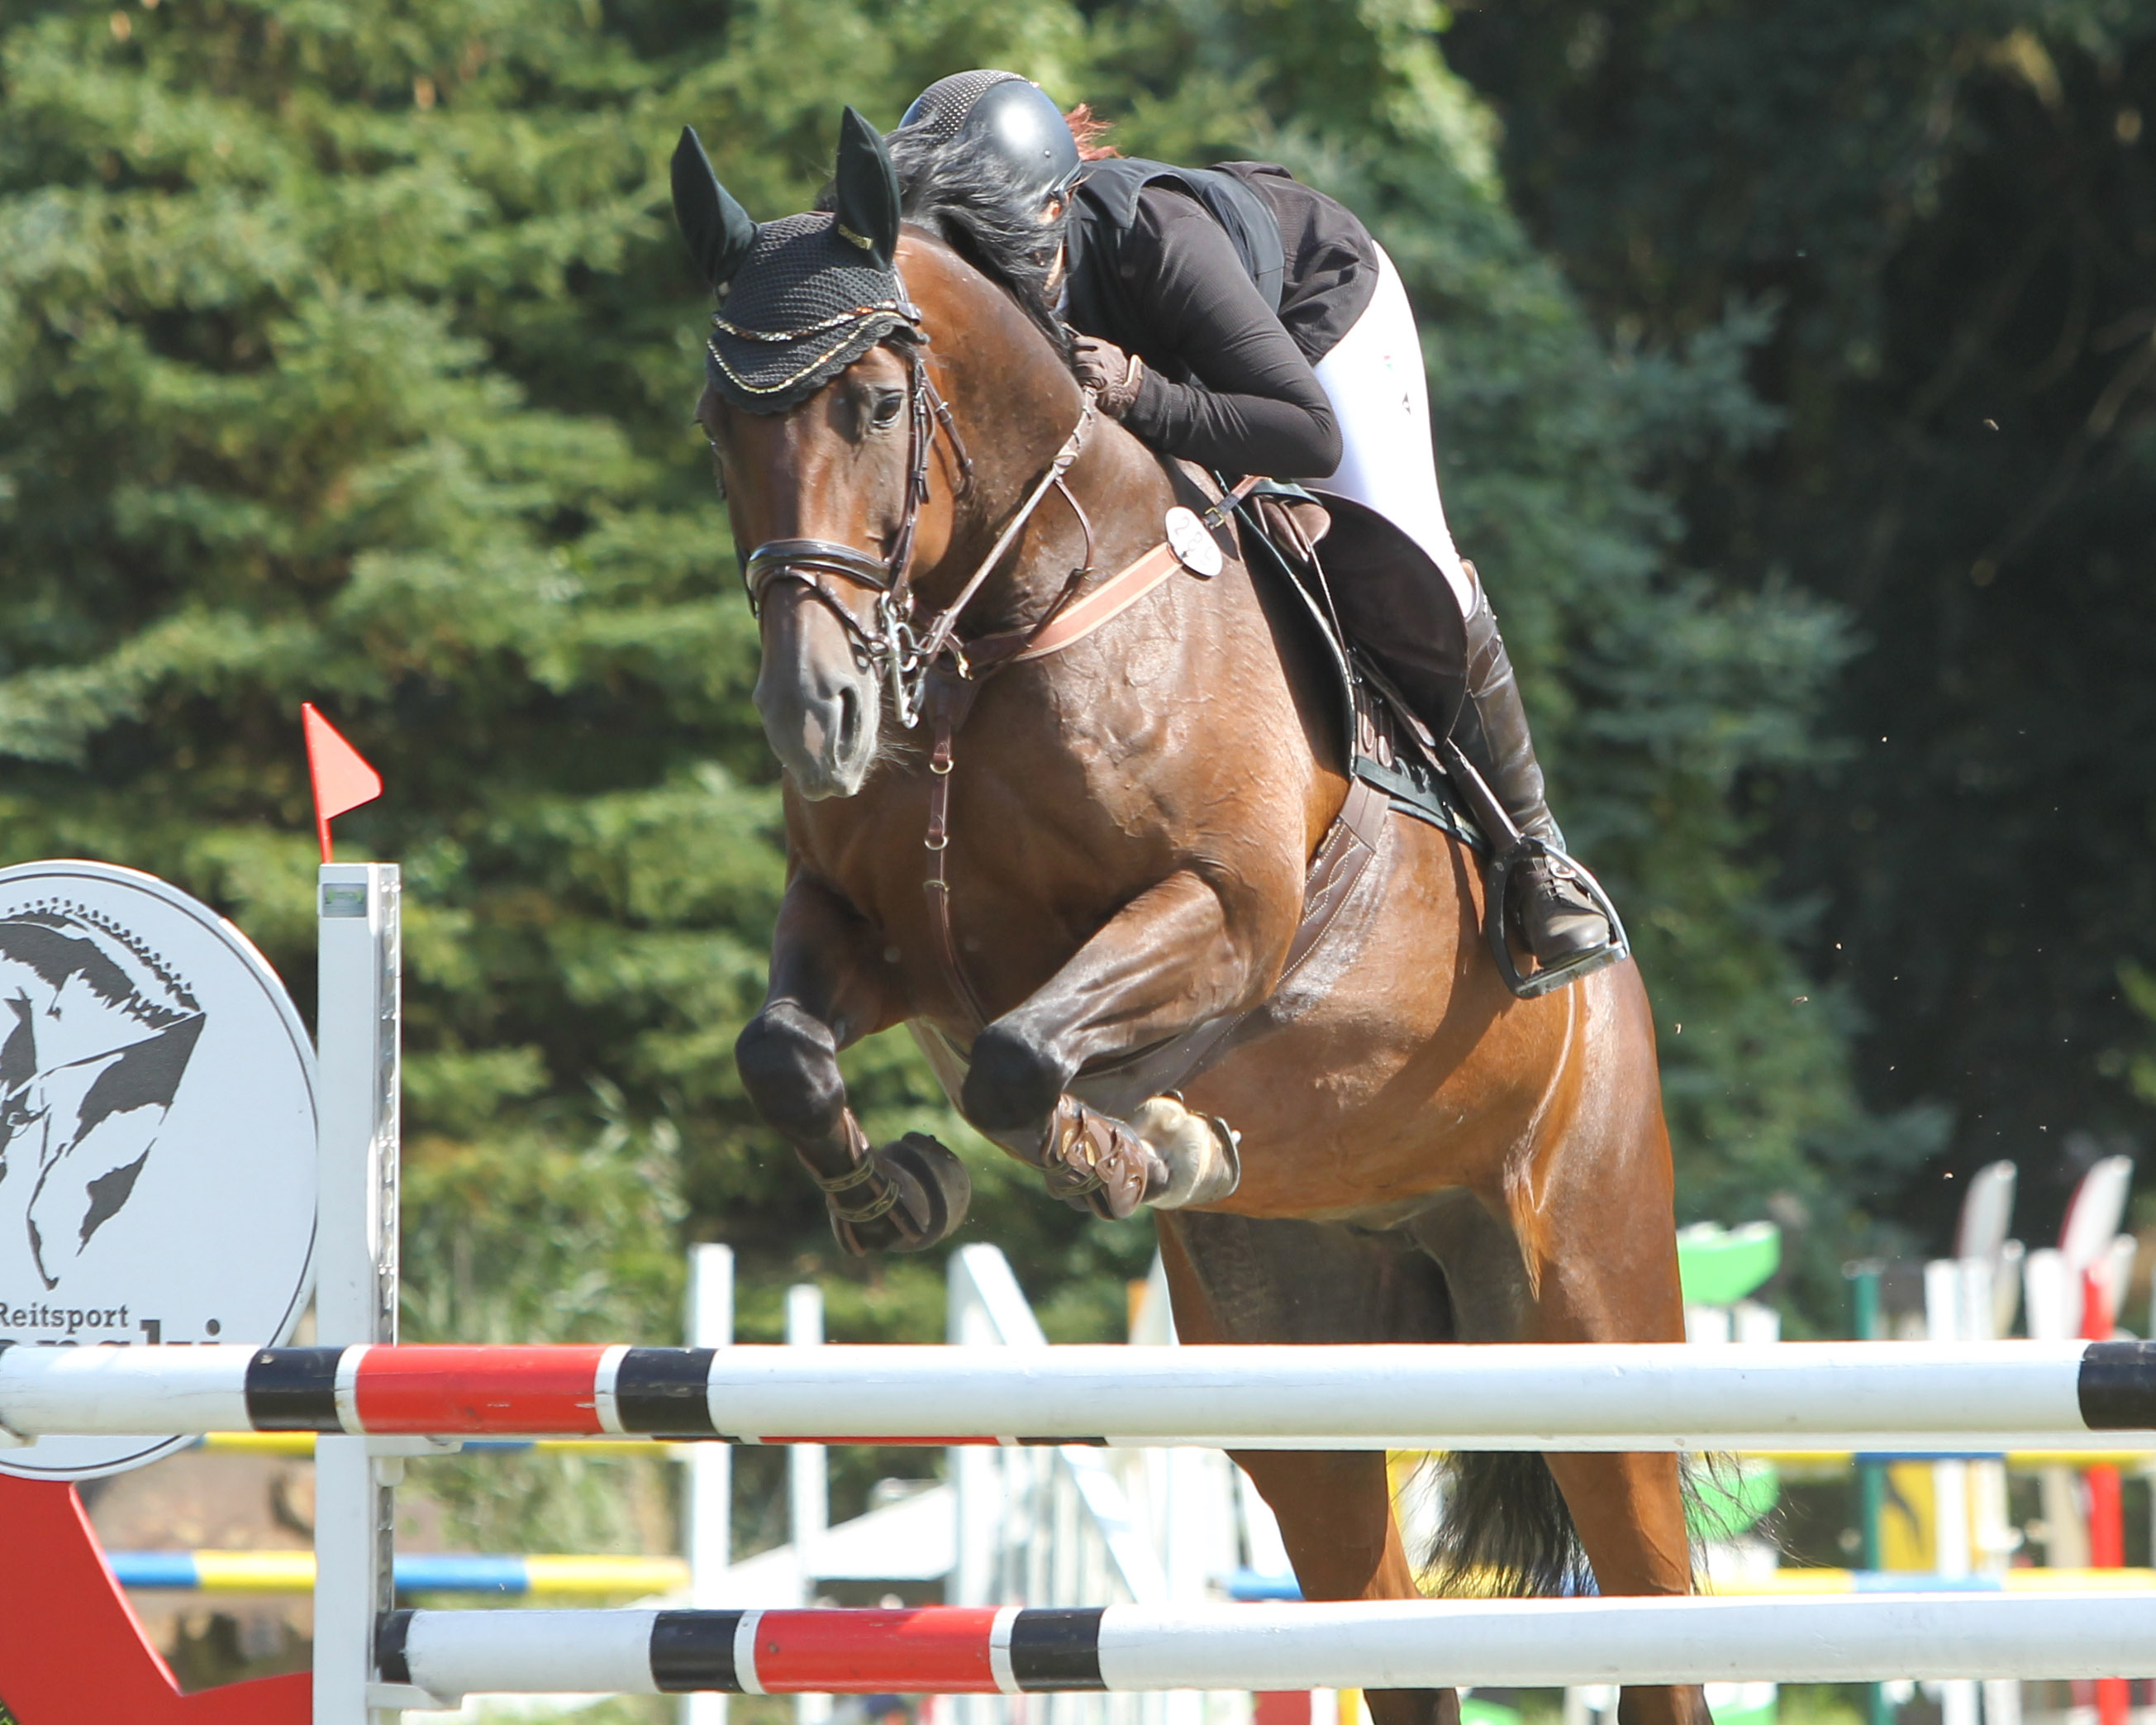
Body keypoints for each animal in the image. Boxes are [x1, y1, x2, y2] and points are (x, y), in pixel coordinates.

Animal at [681, 117, 1707, 1725]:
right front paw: (895, 1192)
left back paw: (1545, 911)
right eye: (717, 428)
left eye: (872, 402)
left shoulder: (1219, 915)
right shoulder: (874, 930)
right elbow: (784, 1048)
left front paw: (1126, 1146)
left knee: (1653, 1608)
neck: (1007, 617)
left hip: (1588, 1314)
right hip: (1297, 1360)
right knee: (1383, 1623)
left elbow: (1019, 1061)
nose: (814, 717)